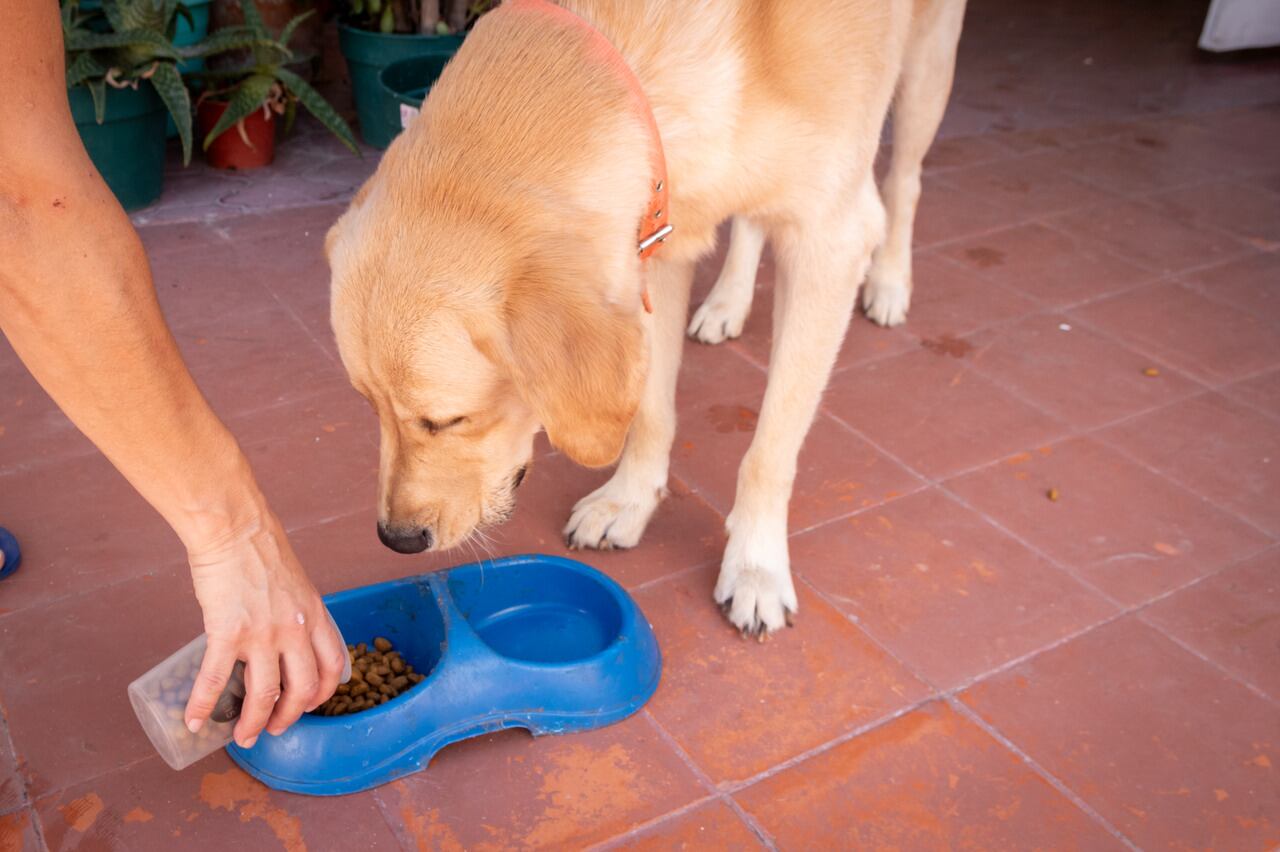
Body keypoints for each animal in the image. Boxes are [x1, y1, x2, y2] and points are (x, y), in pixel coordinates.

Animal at [325, 0, 962, 629]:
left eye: (447, 420)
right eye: (368, 406)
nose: (397, 540)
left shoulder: (827, 241)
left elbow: (771, 448)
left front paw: (755, 566)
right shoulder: (656, 242)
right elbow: (650, 411)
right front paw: (629, 499)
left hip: (925, 73)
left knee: (905, 180)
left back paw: (889, 282)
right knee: (753, 218)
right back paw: (729, 301)